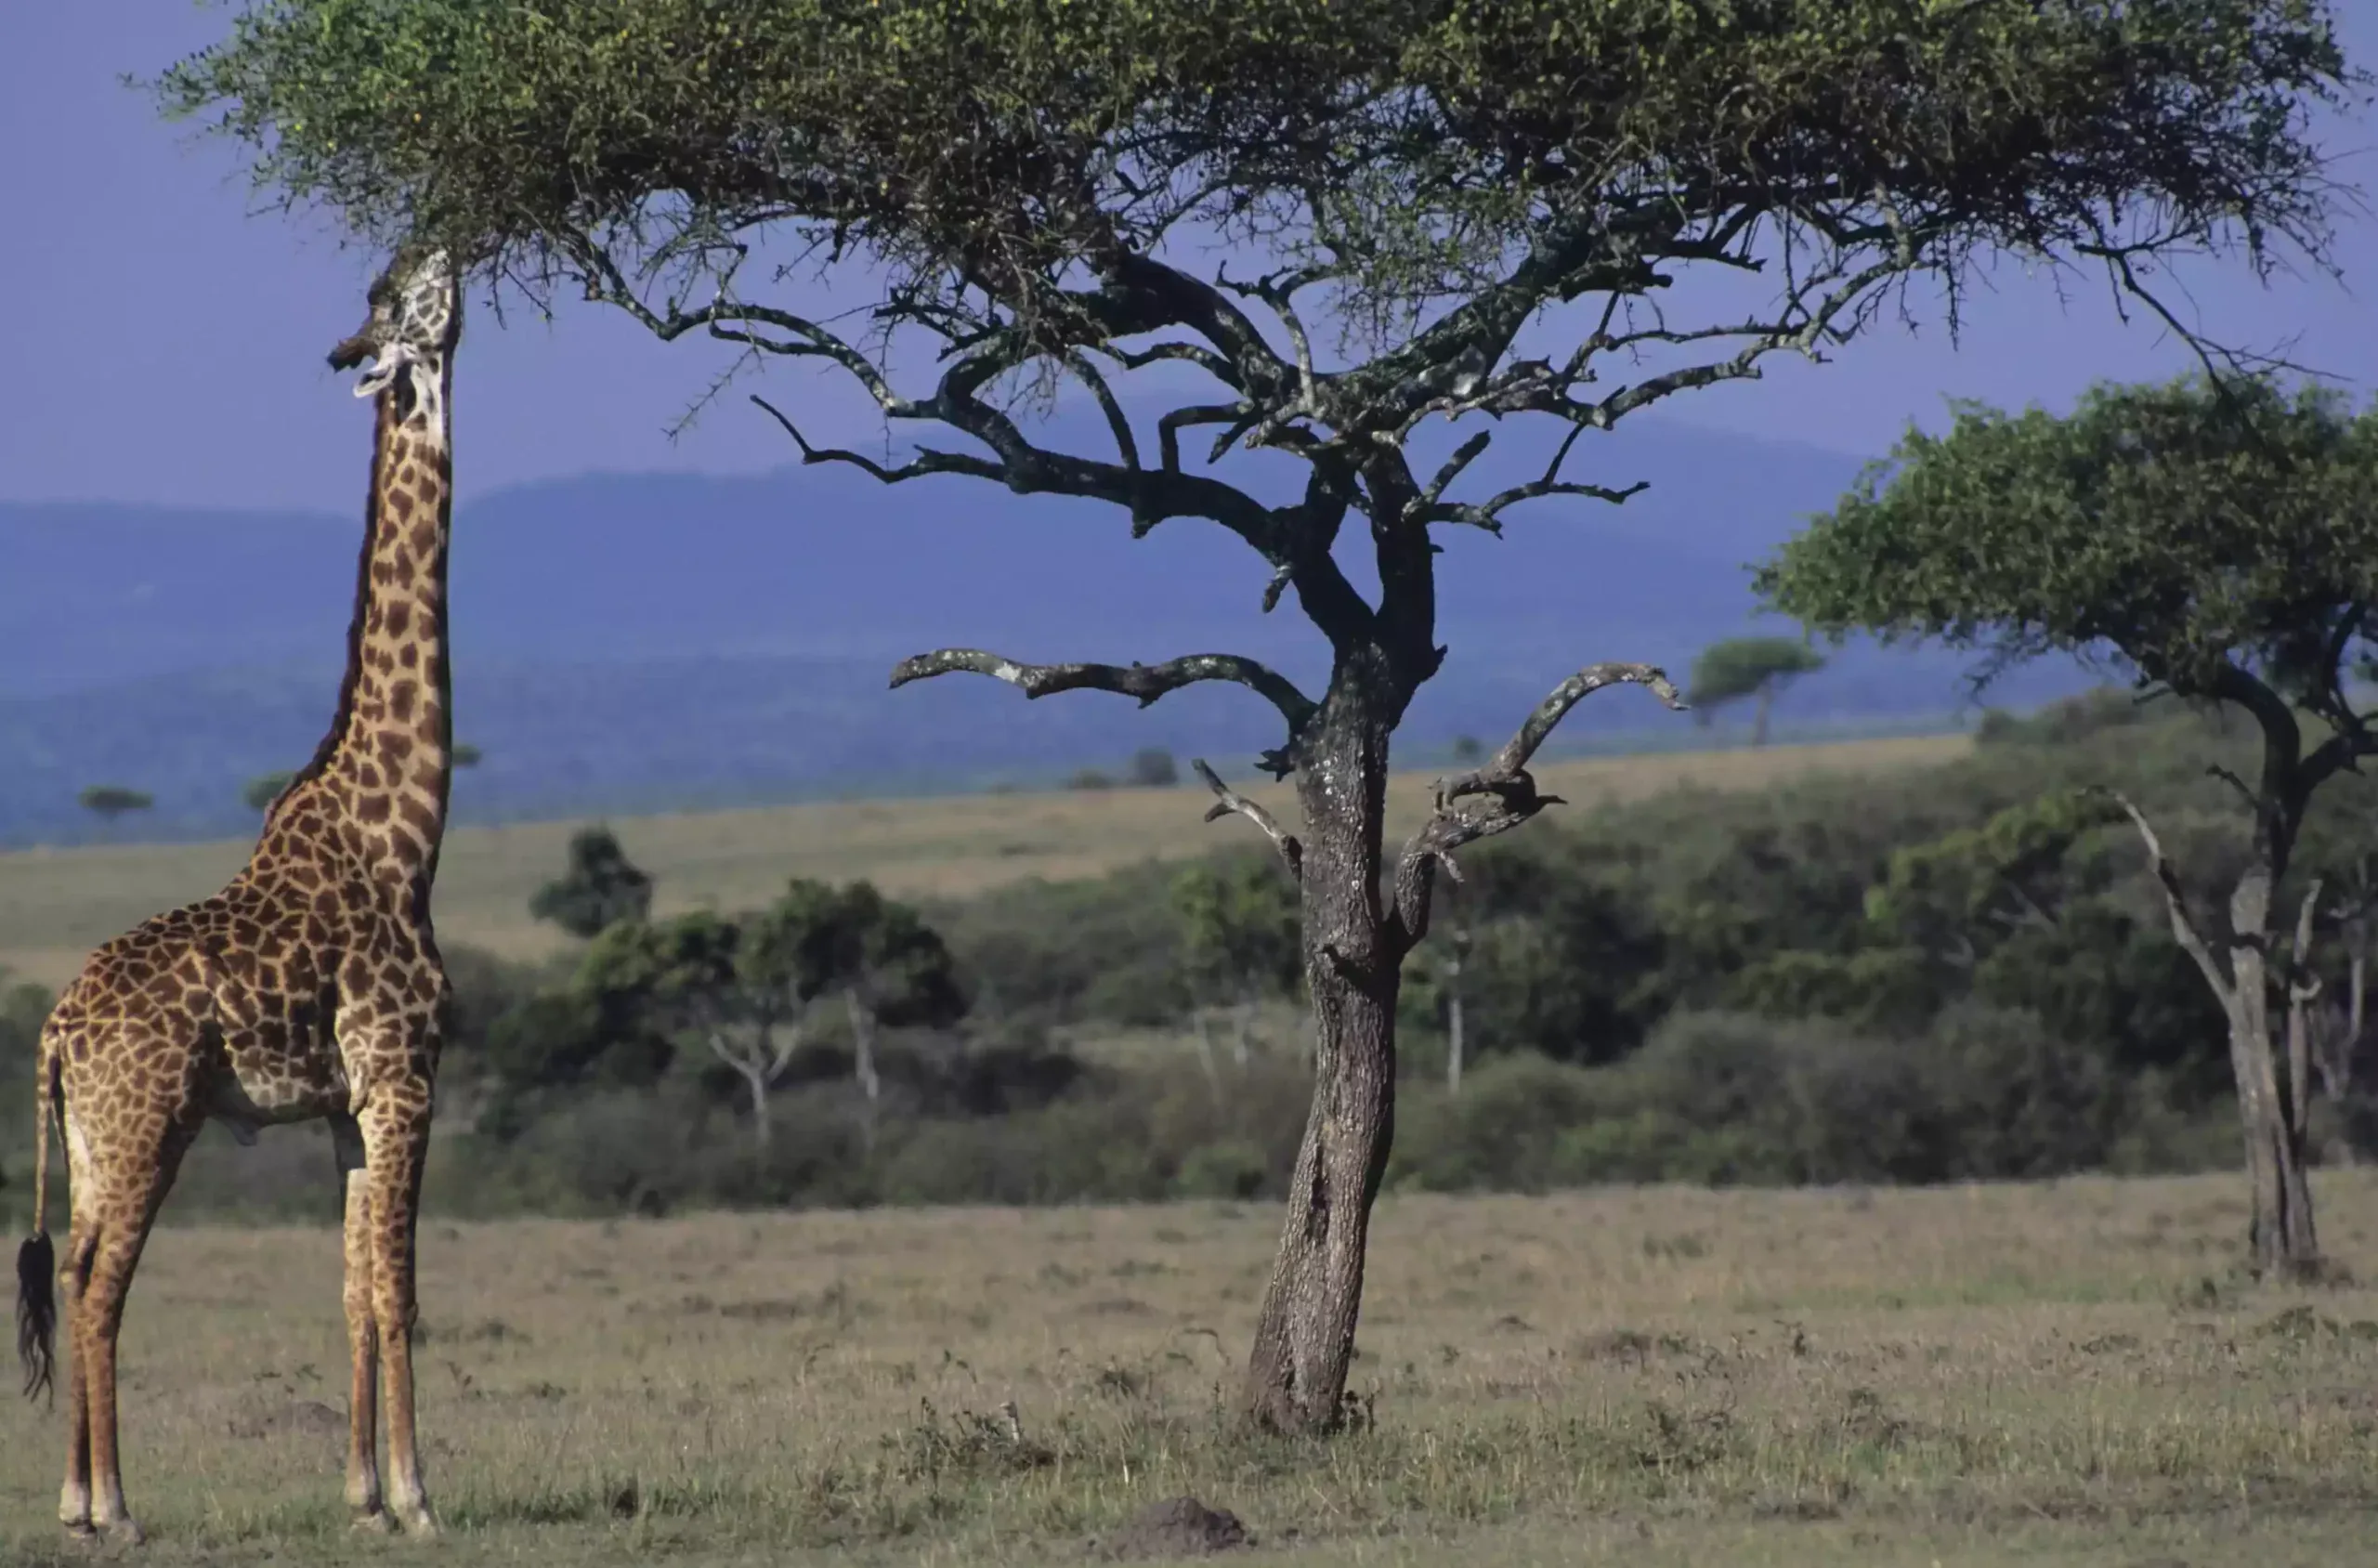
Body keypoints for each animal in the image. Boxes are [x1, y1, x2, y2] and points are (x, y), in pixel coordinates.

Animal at [15, 244, 464, 1541]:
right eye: (401, 299)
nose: (450, 249)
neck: (406, 832)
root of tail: (55, 1031)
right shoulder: (405, 1073)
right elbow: (402, 1289)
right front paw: (420, 1497)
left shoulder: (347, 1103)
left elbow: (357, 1289)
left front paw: (362, 1495)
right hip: (148, 1121)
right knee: (99, 1284)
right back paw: (112, 1506)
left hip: (92, 1134)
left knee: (70, 1268)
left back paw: (76, 1498)